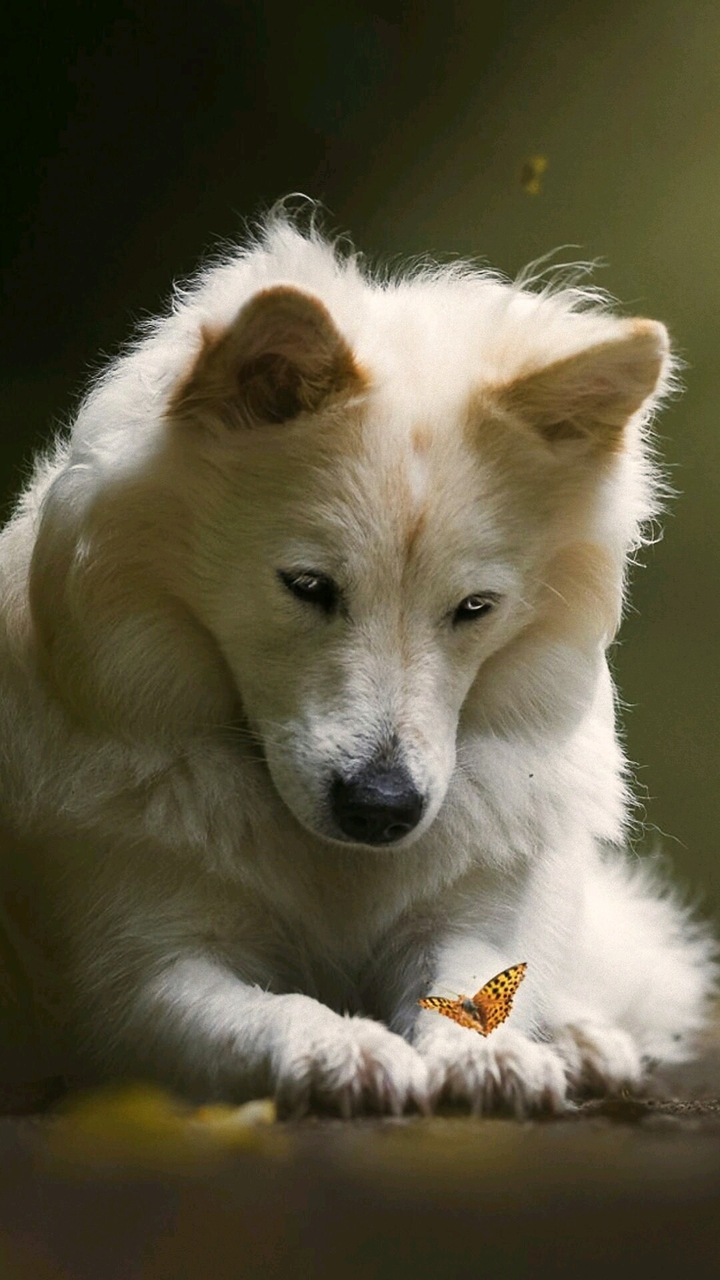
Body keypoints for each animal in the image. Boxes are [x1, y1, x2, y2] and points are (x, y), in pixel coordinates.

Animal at [0, 210, 714, 1115]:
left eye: (475, 609)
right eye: (308, 586)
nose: (382, 811)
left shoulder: (474, 913)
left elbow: (477, 986)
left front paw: (492, 1057)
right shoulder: (136, 972)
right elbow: (266, 1013)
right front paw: (343, 1047)